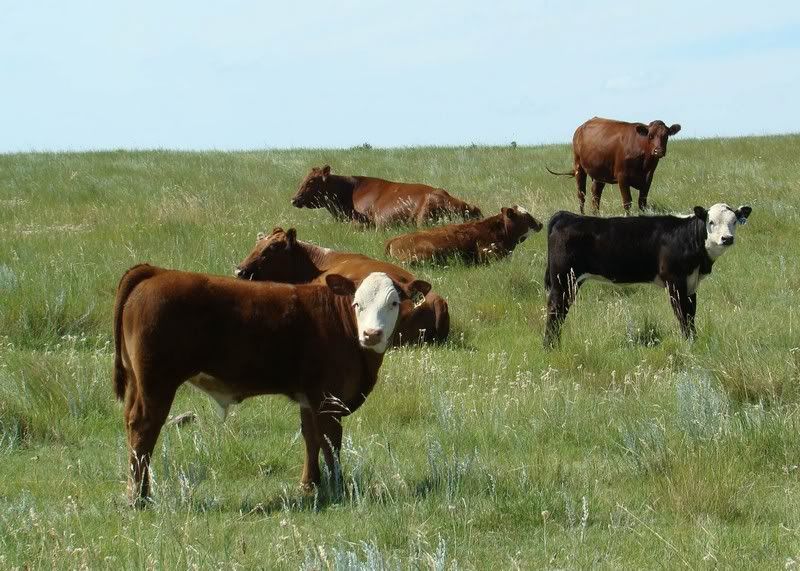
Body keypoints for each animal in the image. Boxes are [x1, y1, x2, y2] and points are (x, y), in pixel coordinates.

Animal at [113, 264, 430, 506]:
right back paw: (139, 497)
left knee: (130, 426)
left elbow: (311, 438)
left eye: (393, 303)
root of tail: (157, 272)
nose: (372, 334)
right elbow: (331, 443)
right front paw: (338, 488)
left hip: (136, 384)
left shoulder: (309, 397)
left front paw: (310, 485)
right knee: (144, 428)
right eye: (357, 304)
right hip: (157, 384)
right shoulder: (328, 398)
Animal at [543, 203, 752, 347]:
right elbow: (682, 314)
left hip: (571, 281)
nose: (727, 238)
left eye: (734, 221)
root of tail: (566, 216)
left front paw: (694, 340)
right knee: (555, 309)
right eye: (711, 222)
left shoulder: (691, 283)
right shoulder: (675, 281)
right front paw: (689, 343)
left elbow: (691, 314)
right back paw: (550, 347)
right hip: (562, 279)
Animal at [547, 117, 681, 214]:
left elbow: (642, 202)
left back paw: (596, 214)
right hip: (579, 167)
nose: (658, 151)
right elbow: (627, 202)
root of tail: (581, 127)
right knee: (581, 194)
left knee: (596, 194)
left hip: (599, 172)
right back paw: (582, 214)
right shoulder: (622, 177)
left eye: (666, 136)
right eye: (650, 136)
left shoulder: (648, 177)